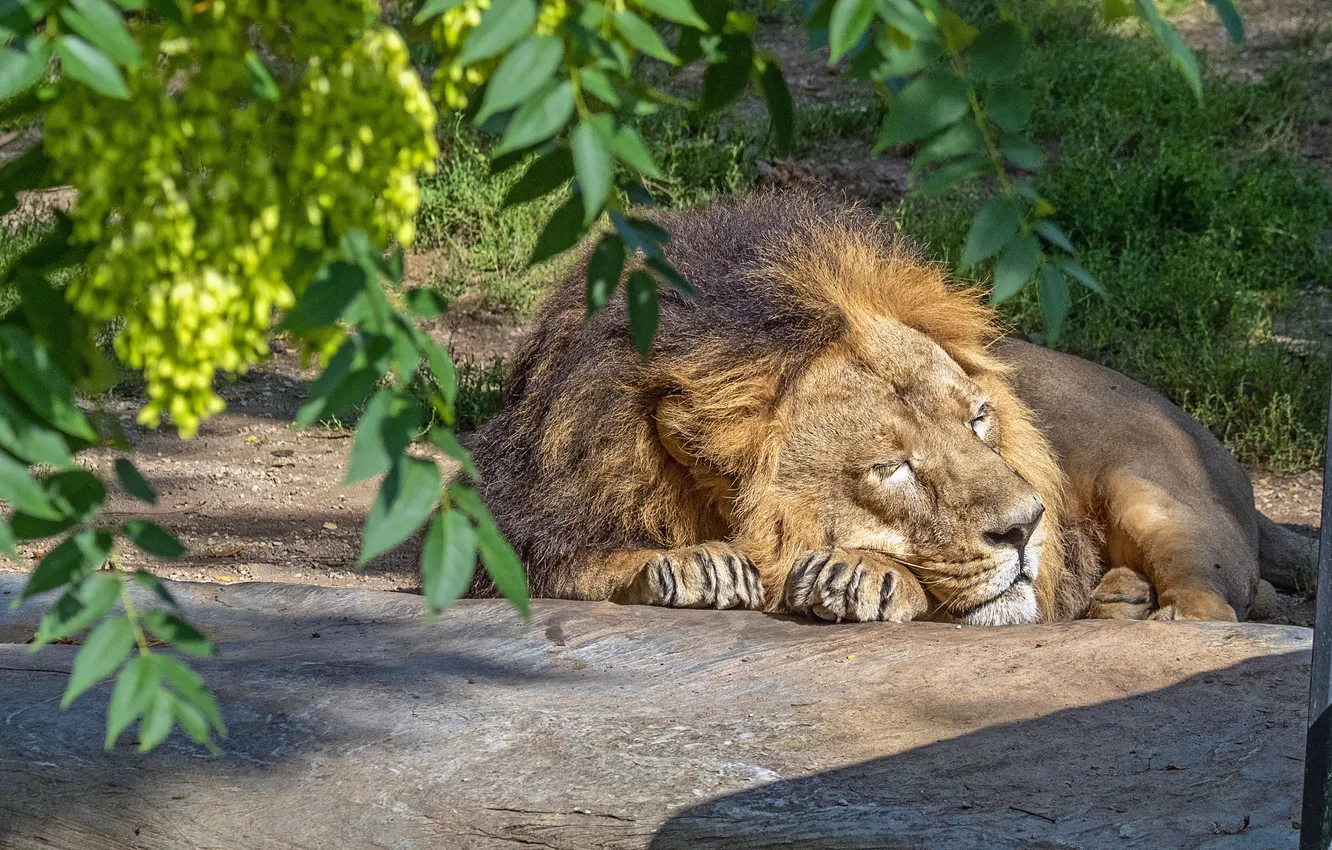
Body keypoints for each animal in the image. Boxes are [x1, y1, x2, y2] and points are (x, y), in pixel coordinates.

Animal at [467, 191, 1312, 624]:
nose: (1027, 527)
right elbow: (560, 562)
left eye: (978, 420)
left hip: (1154, 491)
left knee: (1218, 606)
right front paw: (682, 564)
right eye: (890, 468)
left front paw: (858, 576)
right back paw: (1116, 596)